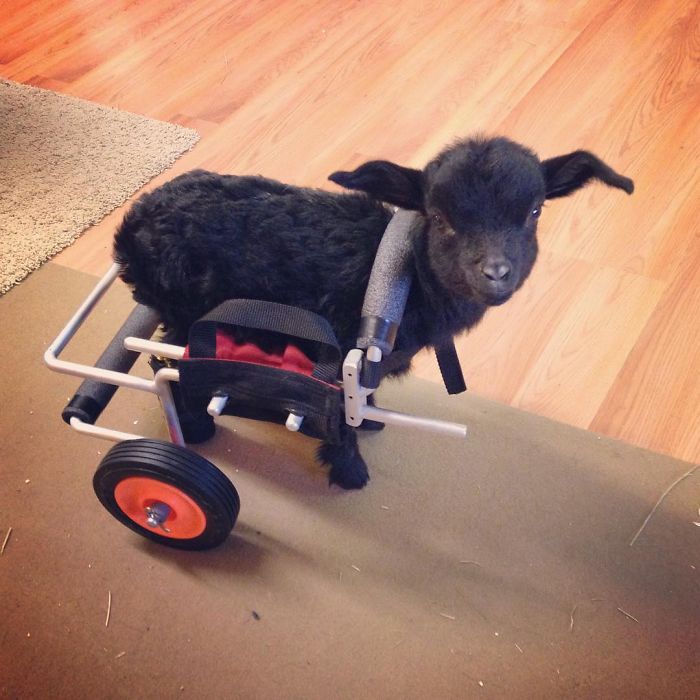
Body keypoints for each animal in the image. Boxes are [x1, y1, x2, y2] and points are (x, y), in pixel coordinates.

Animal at [114, 136, 633, 489]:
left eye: (535, 212)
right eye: (438, 217)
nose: (495, 273)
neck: (406, 279)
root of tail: (131, 224)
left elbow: (362, 401)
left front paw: (374, 422)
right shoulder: (341, 357)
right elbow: (342, 412)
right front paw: (350, 472)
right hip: (184, 309)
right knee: (168, 364)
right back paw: (196, 428)